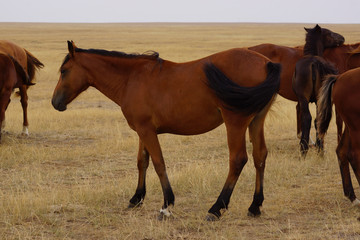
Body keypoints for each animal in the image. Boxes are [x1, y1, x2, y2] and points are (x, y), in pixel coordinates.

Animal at [51, 40, 282, 219]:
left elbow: (158, 163)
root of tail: (267, 63)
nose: (55, 102)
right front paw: (136, 198)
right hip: (256, 121)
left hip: (235, 122)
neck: (131, 78)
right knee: (260, 156)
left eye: (64, 71)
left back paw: (216, 208)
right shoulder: (143, 131)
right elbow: (142, 162)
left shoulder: (147, 131)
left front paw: (166, 205)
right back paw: (255, 206)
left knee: (237, 159)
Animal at [318, 67, 360, 206]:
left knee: (341, 151)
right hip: (355, 126)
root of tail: (339, 78)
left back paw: (352, 196)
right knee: (354, 154)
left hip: (350, 127)